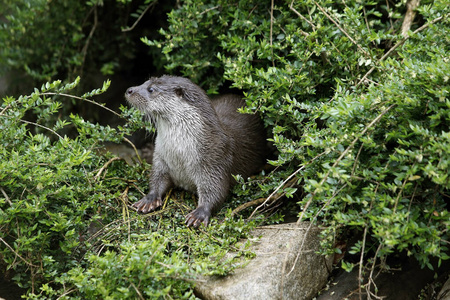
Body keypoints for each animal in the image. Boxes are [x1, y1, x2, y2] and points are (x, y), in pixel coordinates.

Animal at [125, 75, 268, 227]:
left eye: (151, 89)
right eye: (144, 82)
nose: (129, 90)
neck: (179, 152)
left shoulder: (214, 159)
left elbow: (215, 189)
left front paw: (199, 213)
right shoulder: (161, 158)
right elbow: (156, 178)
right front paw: (149, 199)